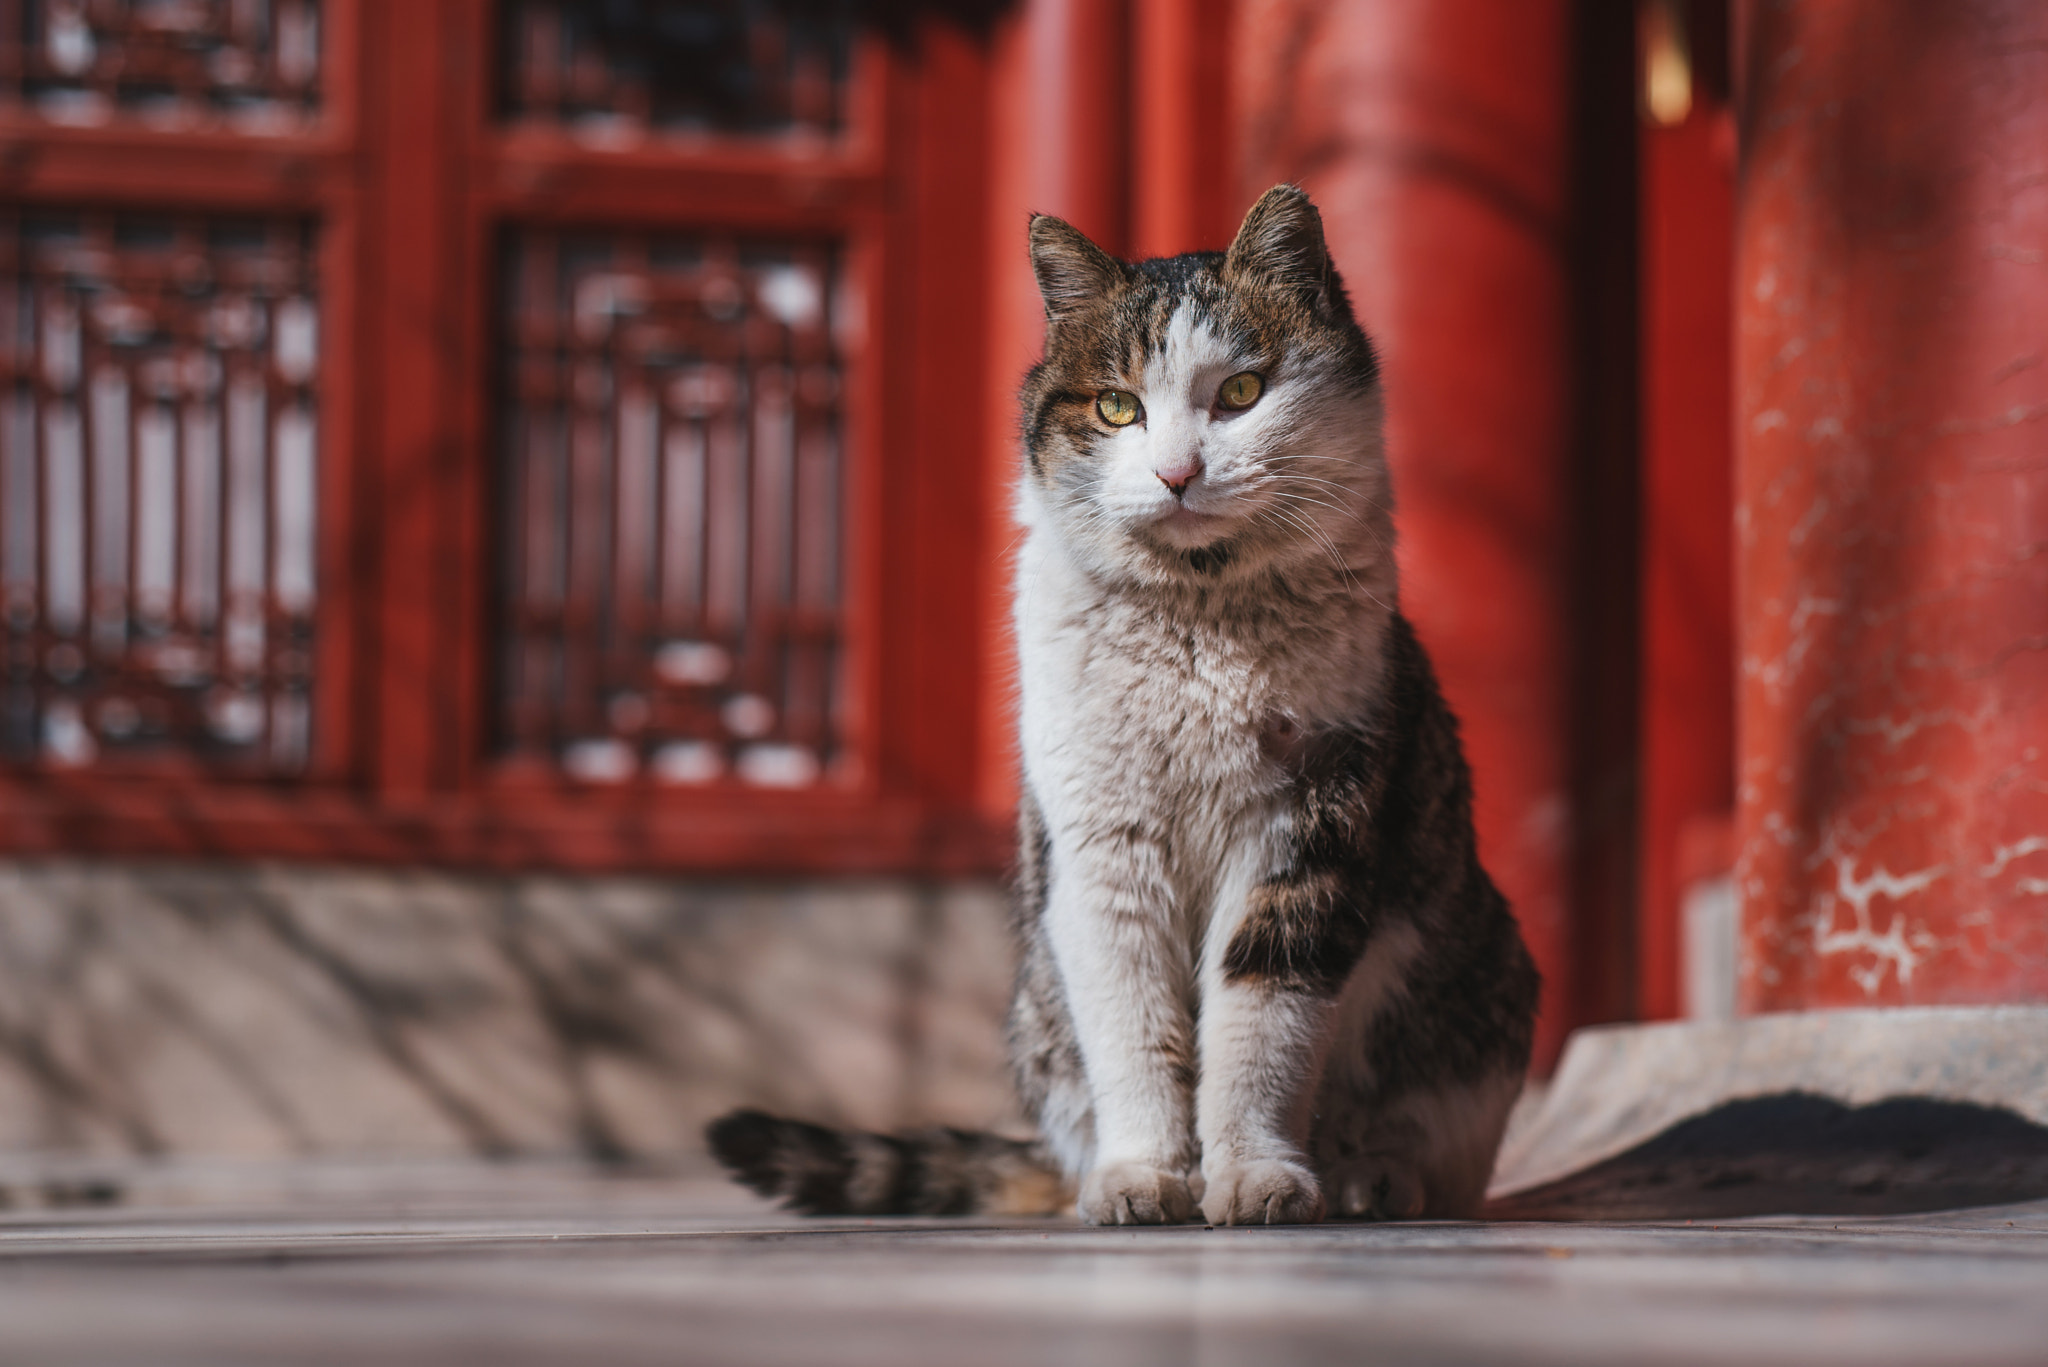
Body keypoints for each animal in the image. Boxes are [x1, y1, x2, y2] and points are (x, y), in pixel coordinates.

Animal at [712, 184, 1531, 1229]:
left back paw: (1365, 1178)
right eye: (1115, 406)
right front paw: (1145, 1176)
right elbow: (1135, 1027)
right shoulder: (1104, 847)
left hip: (1483, 974)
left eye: (1241, 392)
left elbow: (1261, 1025)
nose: (1178, 473)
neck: (1197, 624)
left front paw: (1256, 1176)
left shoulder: (1306, 824)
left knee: (1421, 1135)